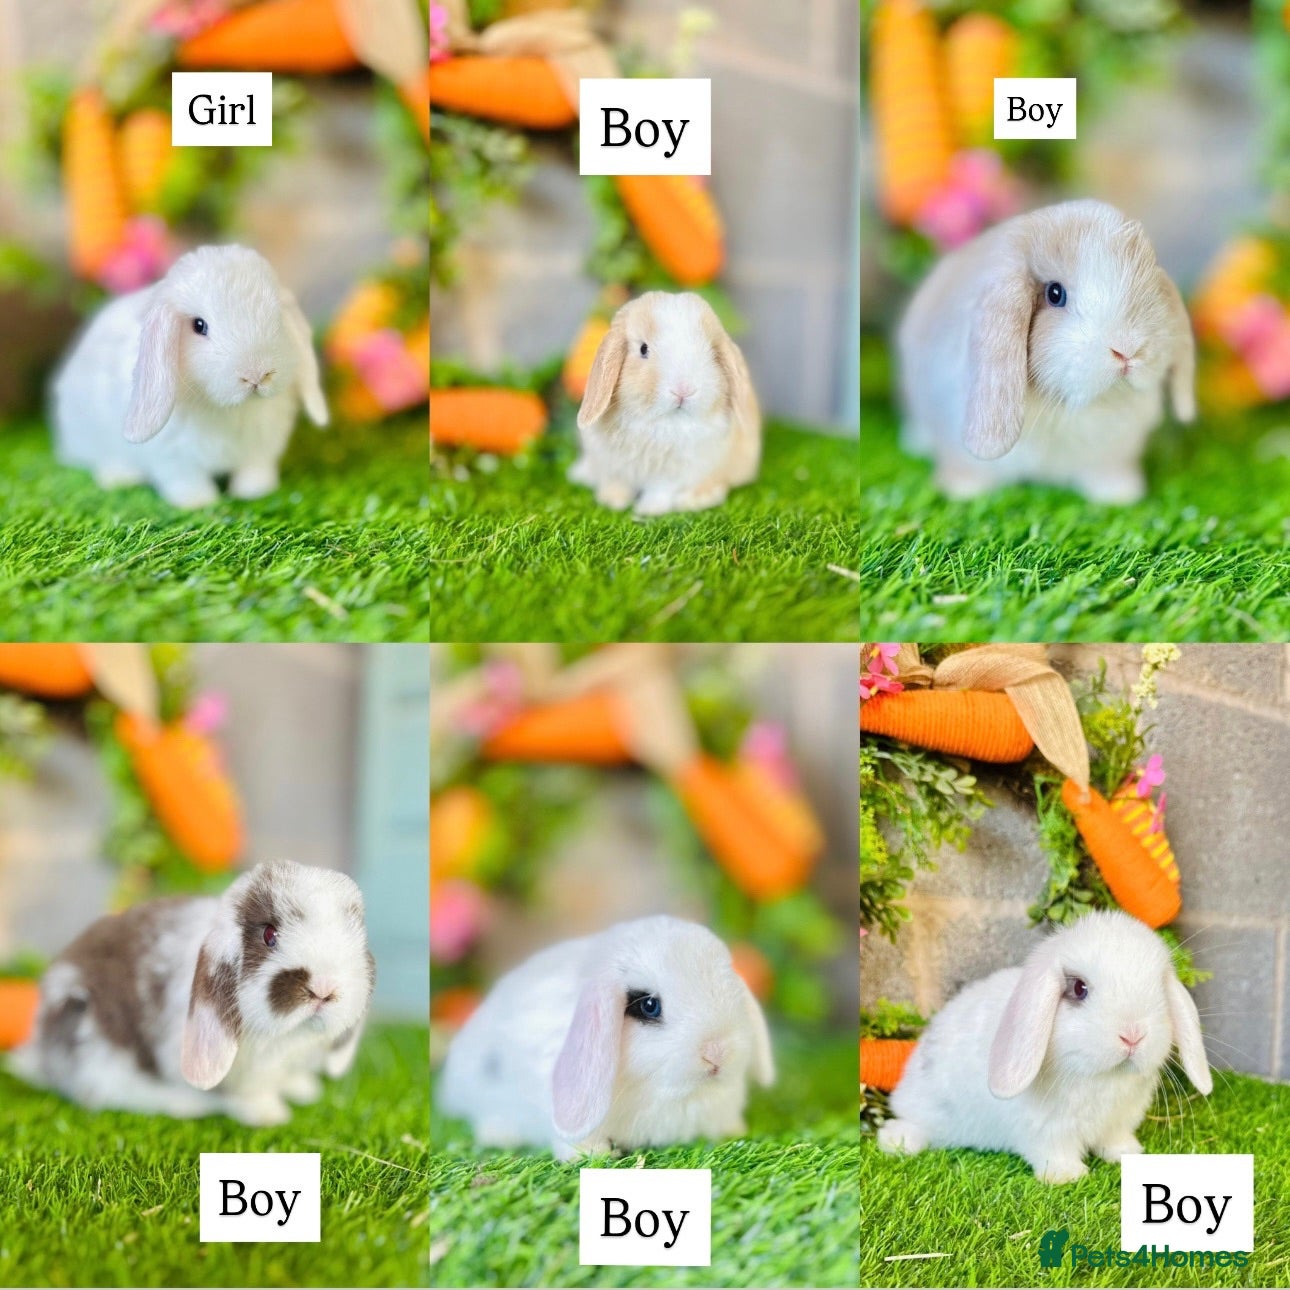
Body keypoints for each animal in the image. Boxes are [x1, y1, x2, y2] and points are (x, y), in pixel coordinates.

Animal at [9, 860, 374, 1126]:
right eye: (269, 935)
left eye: (354, 935)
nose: (323, 989)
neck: (287, 1039)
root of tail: (42, 1052)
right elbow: (245, 1095)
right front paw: (270, 1115)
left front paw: (304, 1090)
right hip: (96, 1041)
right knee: (105, 1091)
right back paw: (186, 1105)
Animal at [51, 244, 328, 509]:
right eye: (199, 325)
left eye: (279, 320)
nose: (257, 375)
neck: (229, 410)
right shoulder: (174, 458)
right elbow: (186, 479)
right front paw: (198, 503)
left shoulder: (261, 448)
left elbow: (255, 469)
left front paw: (254, 492)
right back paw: (120, 477)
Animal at [571, 292, 761, 516]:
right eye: (643, 349)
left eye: (712, 352)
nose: (684, 389)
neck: (661, 424)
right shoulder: (613, 466)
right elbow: (617, 483)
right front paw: (612, 502)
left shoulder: (674, 473)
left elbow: (660, 491)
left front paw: (647, 511)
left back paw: (693, 500)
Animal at [877, 910, 1212, 1184]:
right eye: (1078, 988)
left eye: (1160, 989)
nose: (1133, 1035)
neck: (1101, 1078)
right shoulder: (1044, 1129)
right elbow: (1054, 1151)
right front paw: (1067, 1176)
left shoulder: (1118, 1121)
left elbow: (1115, 1140)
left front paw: (1127, 1153)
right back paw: (895, 1141)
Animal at [897, 199, 1195, 504]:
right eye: (1055, 293)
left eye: (1150, 289)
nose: (1127, 349)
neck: (1065, 407)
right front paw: (962, 491)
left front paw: (1120, 494)